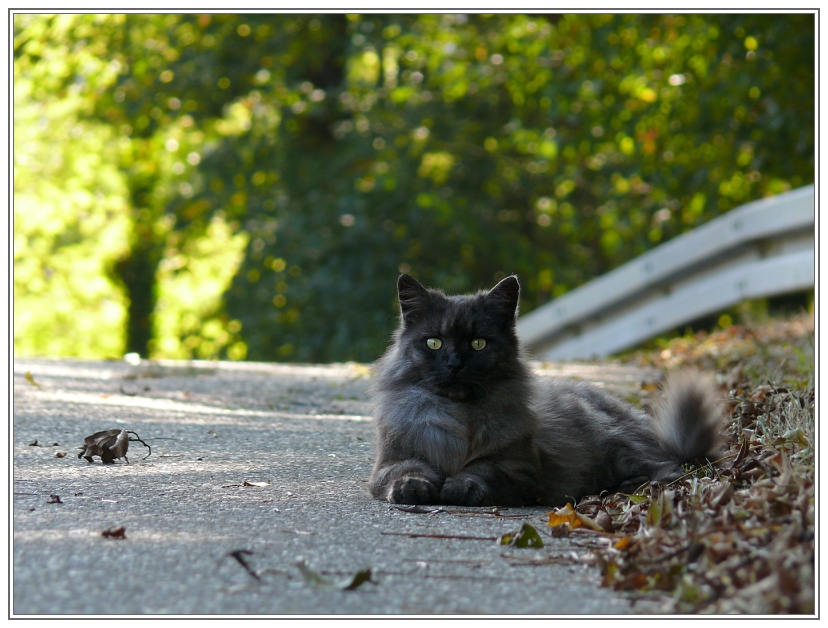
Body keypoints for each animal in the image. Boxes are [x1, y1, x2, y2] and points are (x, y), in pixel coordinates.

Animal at [368, 274, 724, 506]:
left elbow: (481, 472)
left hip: (618, 446)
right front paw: (414, 488)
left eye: (478, 343)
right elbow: (405, 472)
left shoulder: (518, 470)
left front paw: (458, 487)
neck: (459, 415)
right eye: (434, 343)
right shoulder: (392, 461)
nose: (455, 363)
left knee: (669, 470)